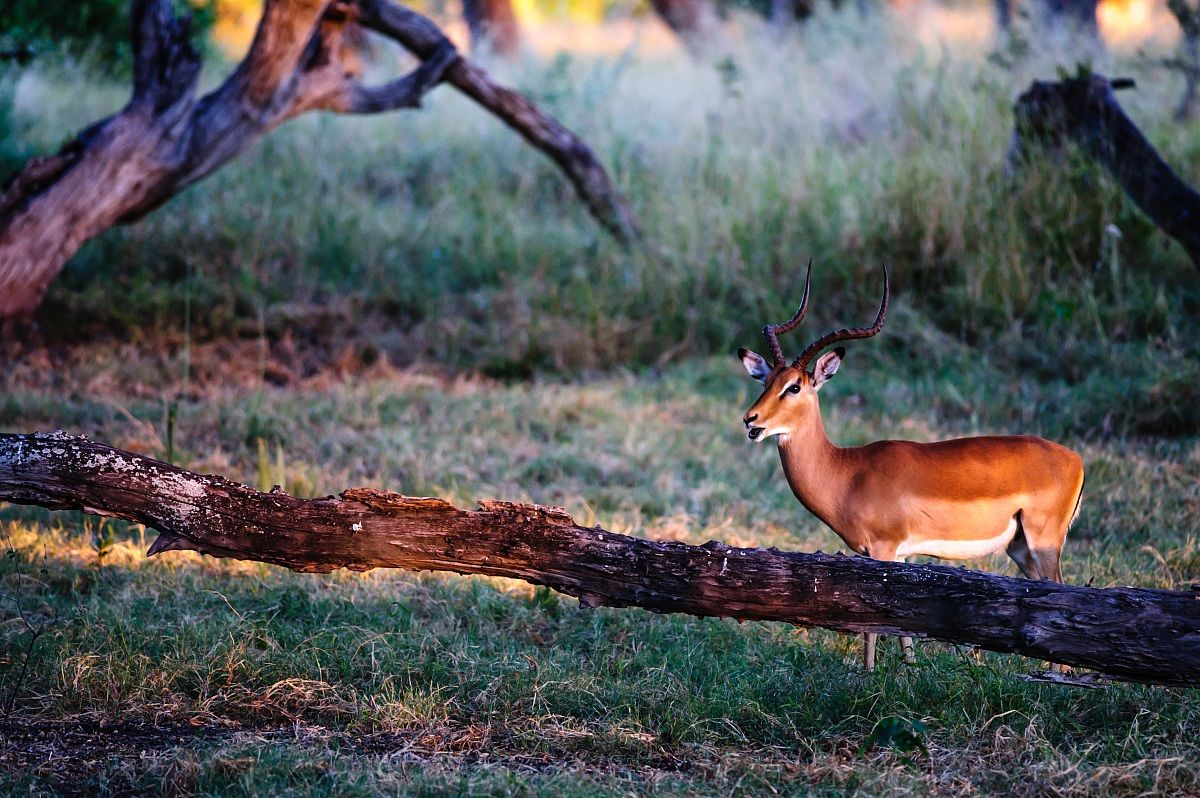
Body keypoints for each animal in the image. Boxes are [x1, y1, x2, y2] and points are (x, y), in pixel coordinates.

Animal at [738, 261, 1084, 670]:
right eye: (765, 380)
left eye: (794, 387)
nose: (751, 419)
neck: (847, 473)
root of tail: (1075, 459)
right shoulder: (900, 556)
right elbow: (901, 624)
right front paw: (910, 670)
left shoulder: (881, 551)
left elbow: (873, 625)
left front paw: (868, 675)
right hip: (1020, 548)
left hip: (1043, 541)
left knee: (1060, 592)